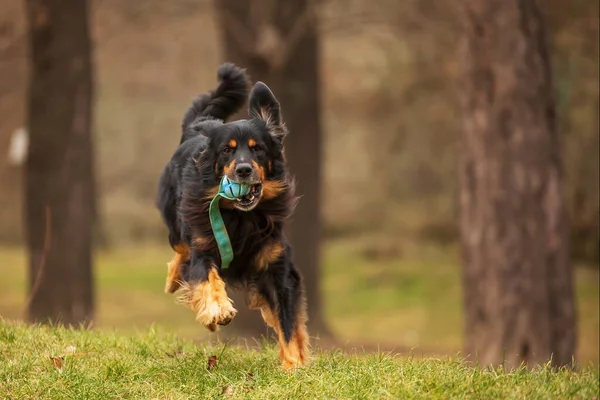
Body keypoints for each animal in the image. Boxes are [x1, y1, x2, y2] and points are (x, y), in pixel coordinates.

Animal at [155, 63, 310, 372]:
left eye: (257, 148)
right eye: (227, 149)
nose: (243, 170)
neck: (241, 217)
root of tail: (201, 123)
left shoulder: (277, 268)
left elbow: (288, 322)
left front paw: (293, 363)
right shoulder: (204, 246)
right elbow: (206, 277)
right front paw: (218, 308)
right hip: (178, 219)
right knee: (181, 250)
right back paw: (175, 281)